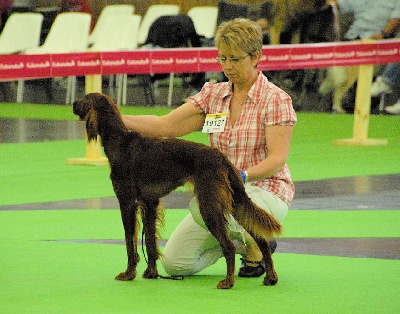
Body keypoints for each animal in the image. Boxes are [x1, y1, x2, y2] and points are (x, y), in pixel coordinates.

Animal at [73, 92, 282, 288]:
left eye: (84, 99)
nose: (73, 103)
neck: (119, 142)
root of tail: (220, 157)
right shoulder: (149, 203)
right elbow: (150, 243)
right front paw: (151, 273)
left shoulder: (127, 202)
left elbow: (129, 242)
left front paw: (128, 273)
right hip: (235, 203)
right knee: (261, 240)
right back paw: (270, 277)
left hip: (208, 205)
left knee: (229, 246)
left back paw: (228, 282)